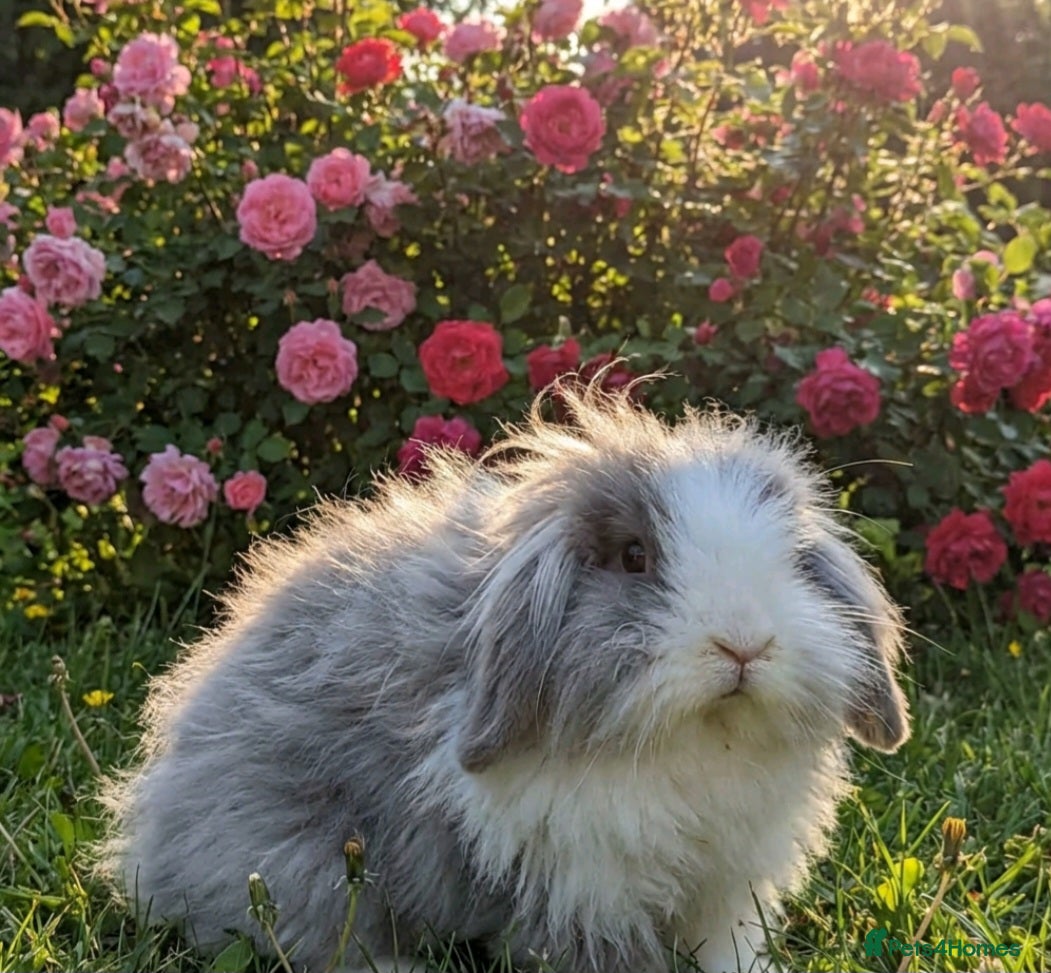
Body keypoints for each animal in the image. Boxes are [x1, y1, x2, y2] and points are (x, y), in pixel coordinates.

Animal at [98, 381, 910, 973]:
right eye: (634, 557)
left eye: (793, 561)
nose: (744, 645)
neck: (698, 744)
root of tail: (154, 839)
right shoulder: (586, 882)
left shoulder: (726, 886)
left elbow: (725, 951)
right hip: (295, 861)